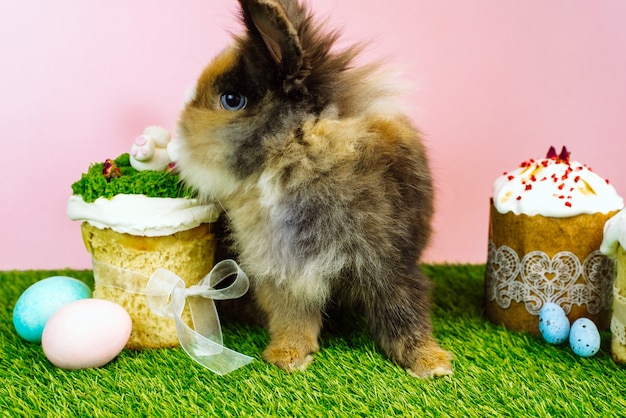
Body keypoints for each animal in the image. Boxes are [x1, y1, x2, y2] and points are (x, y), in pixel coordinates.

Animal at [173, 0, 450, 378]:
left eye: (231, 100)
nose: (178, 140)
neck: (295, 153)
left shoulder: (390, 263)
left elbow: (404, 314)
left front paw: (430, 364)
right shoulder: (283, 269)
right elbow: (292, 316)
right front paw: (288, 357)